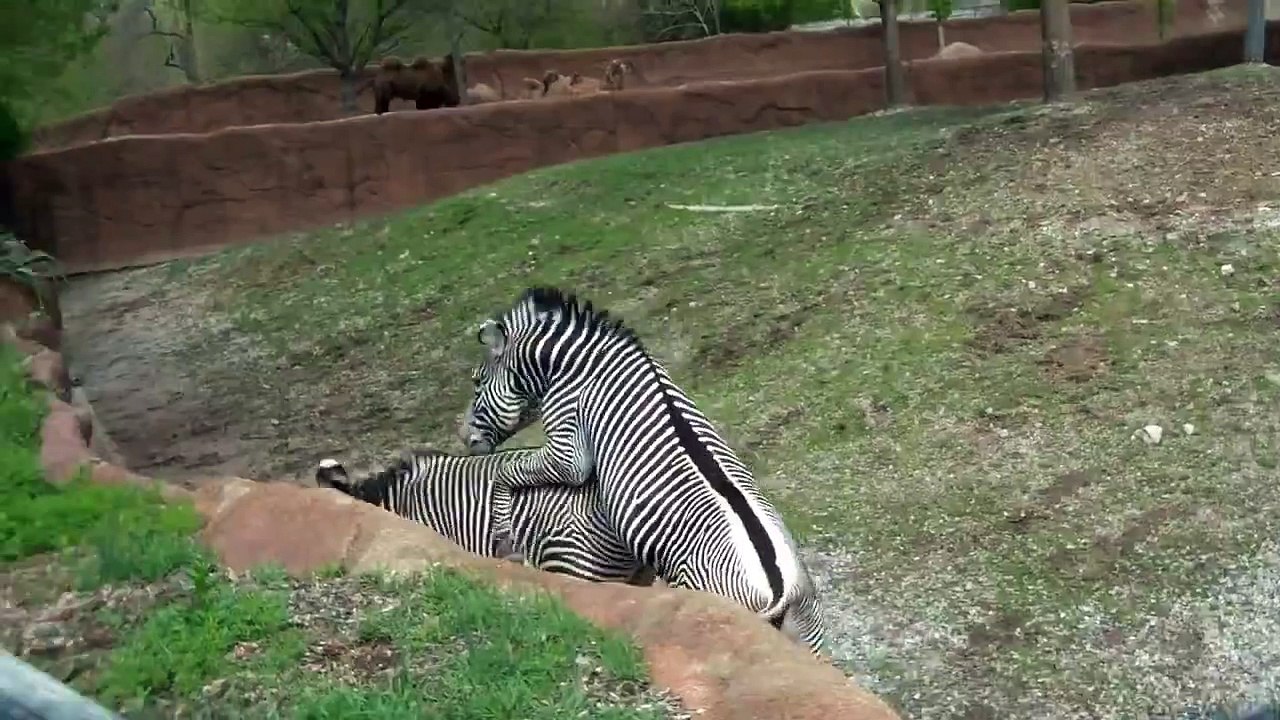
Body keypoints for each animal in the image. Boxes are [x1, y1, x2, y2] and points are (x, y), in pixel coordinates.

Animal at [457, 286, 827, 655]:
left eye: (477, 382)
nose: (464, 439)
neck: (579, 367)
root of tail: (777, 591)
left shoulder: (568, 453)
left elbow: (505, 472)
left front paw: (504, 538)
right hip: (809, 635)